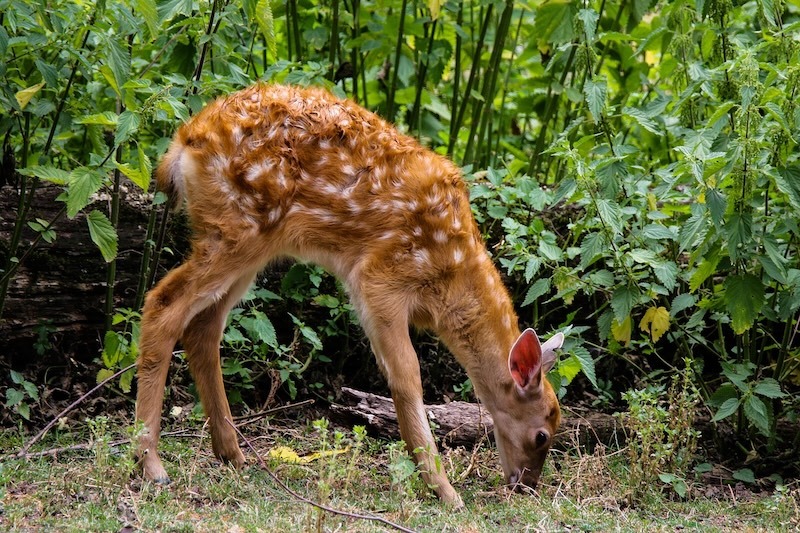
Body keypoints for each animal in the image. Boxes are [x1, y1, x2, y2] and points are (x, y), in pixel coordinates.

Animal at [134, 84, 565, 507]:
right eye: (541, 435)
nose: (527, 485)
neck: (450, 282)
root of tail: (183, 141)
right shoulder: (380, 277)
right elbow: (407, 375)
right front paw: (444, 490)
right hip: (239, 227)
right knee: (163, 304)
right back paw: (151, 464)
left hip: (246, 246)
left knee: (204, 328)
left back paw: (231, 453)